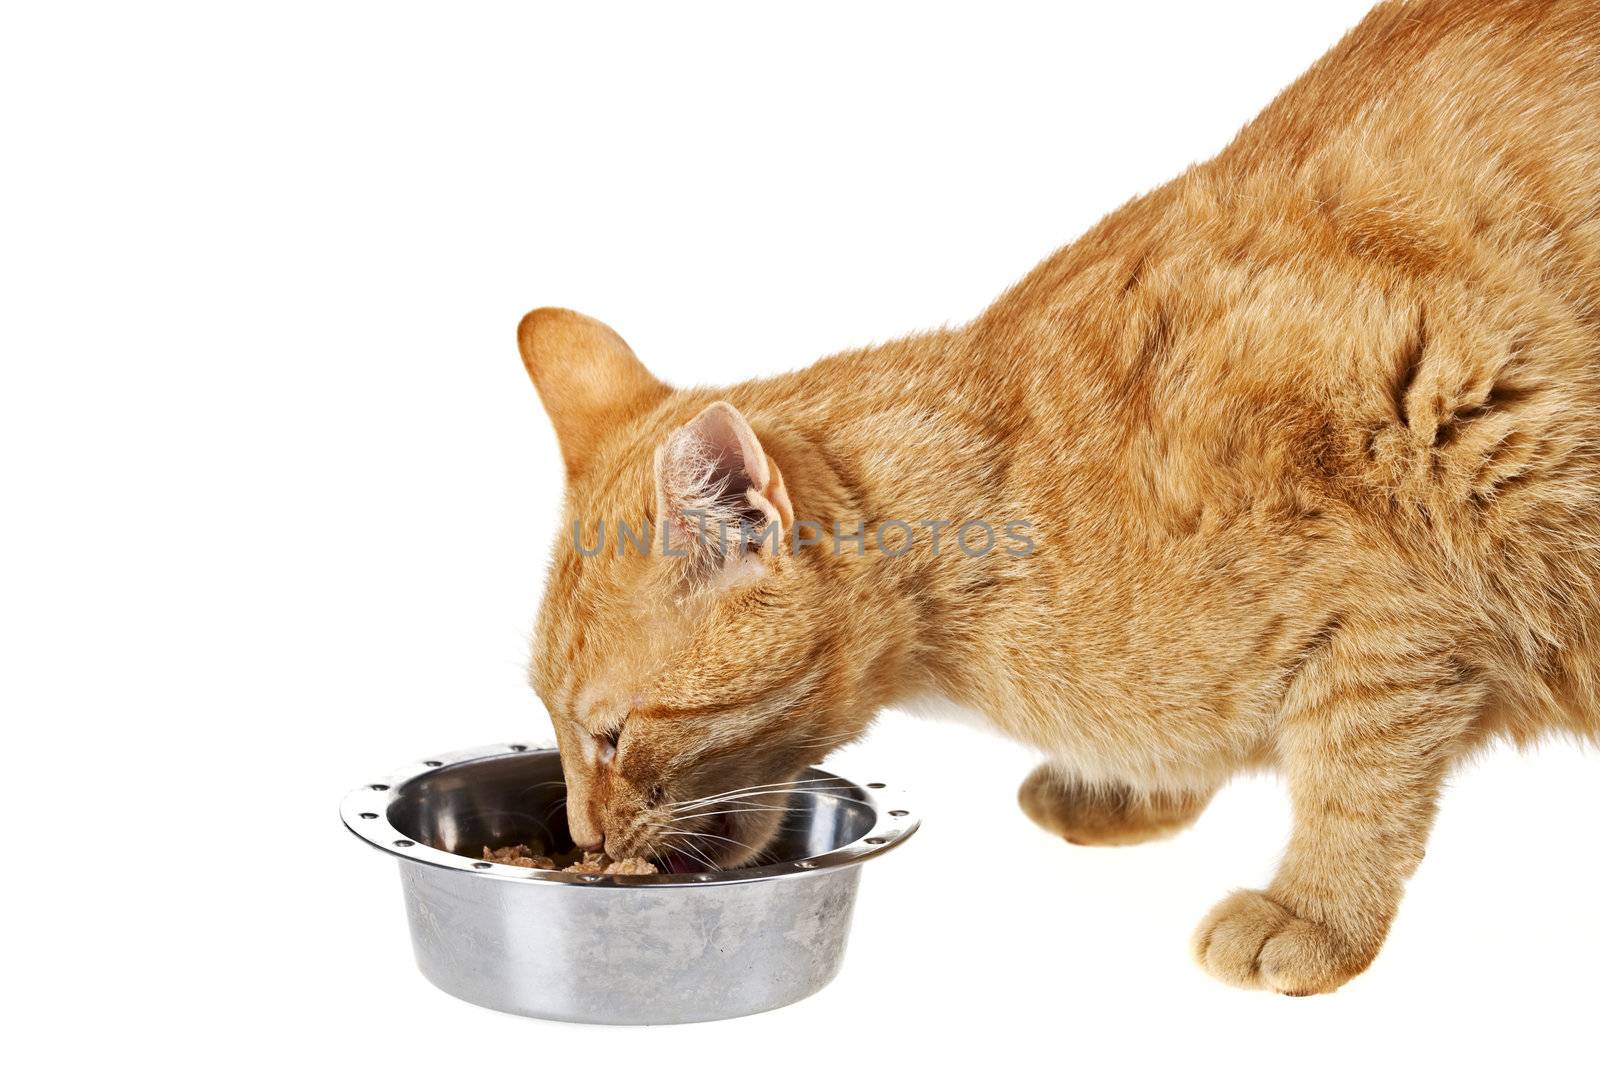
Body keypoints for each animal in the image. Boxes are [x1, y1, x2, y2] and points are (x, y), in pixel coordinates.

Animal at [518, 0, 1593, 998]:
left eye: (611, 734)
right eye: (559, 727)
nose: (585, 836)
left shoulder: (1409, 595)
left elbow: (1356, 774)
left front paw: (1315, 912)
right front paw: (1134, 790)